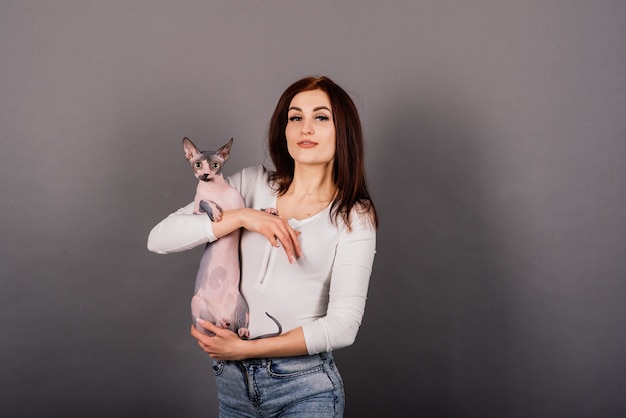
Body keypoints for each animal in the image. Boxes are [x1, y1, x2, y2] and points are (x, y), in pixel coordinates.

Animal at [183, 137, 280, 340]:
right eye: (197, 164)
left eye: (215, 165)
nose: (205, 175)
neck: (217, 190)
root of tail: (221, 314)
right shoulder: (196, 213)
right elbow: (204, 201)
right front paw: (216, 211)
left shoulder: (242, 213)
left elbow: (252, 210)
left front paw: (268, 210)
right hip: (197, 304)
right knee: (208, 328)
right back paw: (219, 324)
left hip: (240, 301)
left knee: (239, 326)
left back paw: (240, 330)